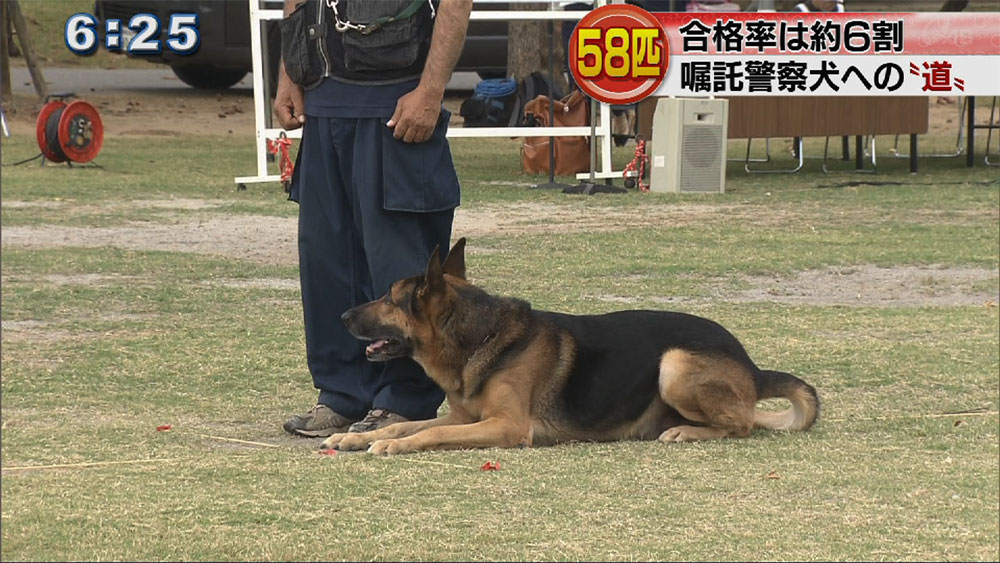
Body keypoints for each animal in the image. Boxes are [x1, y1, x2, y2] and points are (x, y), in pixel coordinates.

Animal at [322, 240, 820, 456]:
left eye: (390, 298)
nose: (341, 317)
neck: (483, 338)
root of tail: (752, 368)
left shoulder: (506, 427)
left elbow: (427, 433)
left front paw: (390, 444)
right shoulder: (465, 418)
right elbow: (404, 424)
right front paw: (360, 436)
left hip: (674, 364)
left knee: (741, 425)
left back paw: (685, 433)